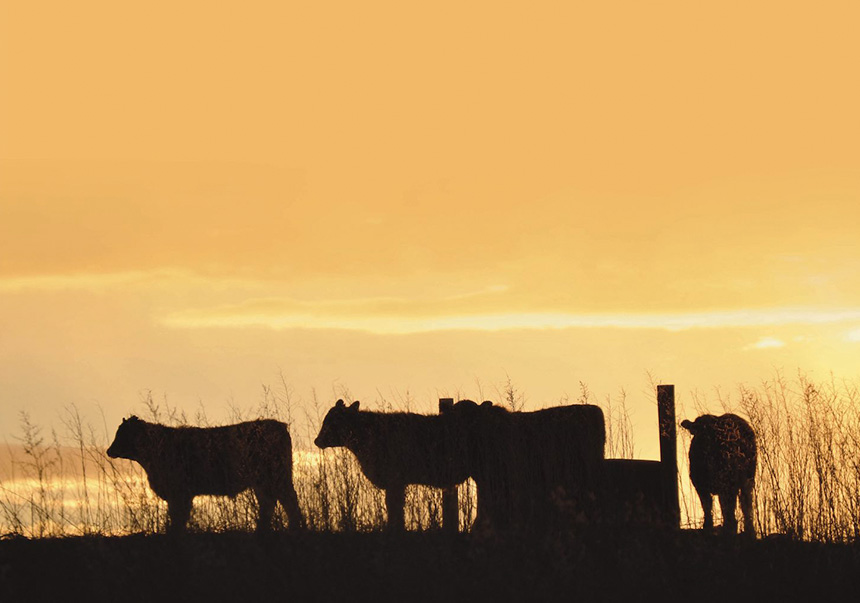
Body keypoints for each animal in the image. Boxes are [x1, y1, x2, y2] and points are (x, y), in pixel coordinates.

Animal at [107, 418, 304, 532]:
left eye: (122, 434)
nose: (109, 450)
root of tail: (278, 425)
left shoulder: (180, 493)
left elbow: (178, 517)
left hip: (277, 476)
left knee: (289, 500)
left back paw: (295, 528)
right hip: (263, 481)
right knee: (268, 503)